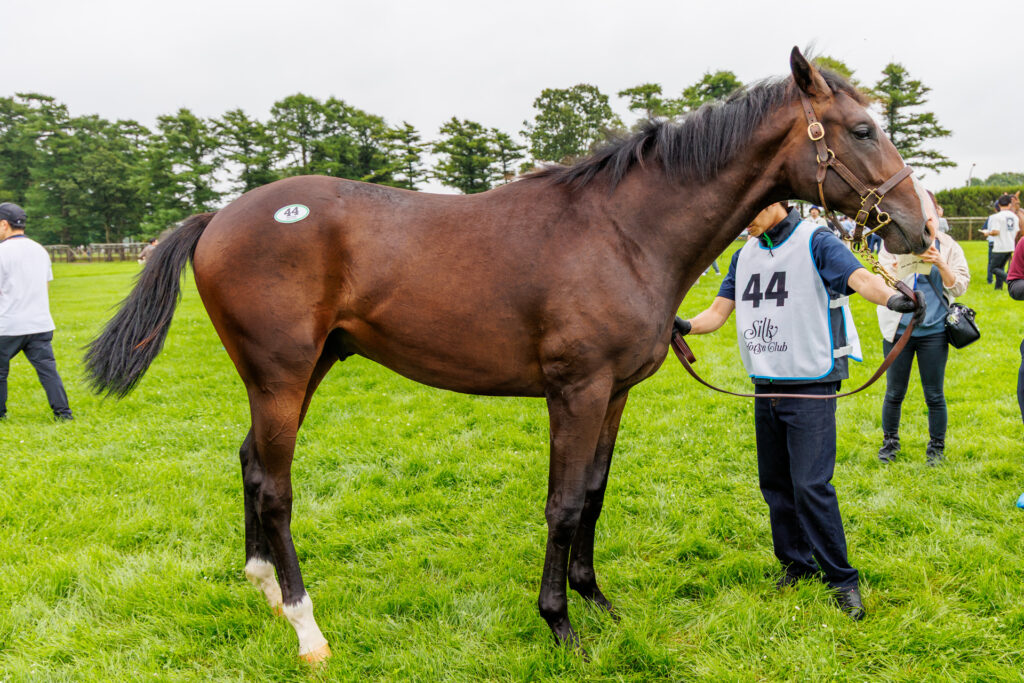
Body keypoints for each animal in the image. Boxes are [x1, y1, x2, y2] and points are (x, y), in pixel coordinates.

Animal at [85, 48, 936, 663]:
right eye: (861, 129)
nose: (918, 227)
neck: (624, 231)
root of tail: (220, 217)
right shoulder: (576, 392)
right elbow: (562, 503)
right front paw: (560, 624)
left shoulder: (615, 394)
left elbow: (592, 494)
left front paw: (598, 601)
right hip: (282, 376)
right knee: (273, 484)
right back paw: (305, 625)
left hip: (305, 370)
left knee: (248, 463)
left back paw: (262, 584)